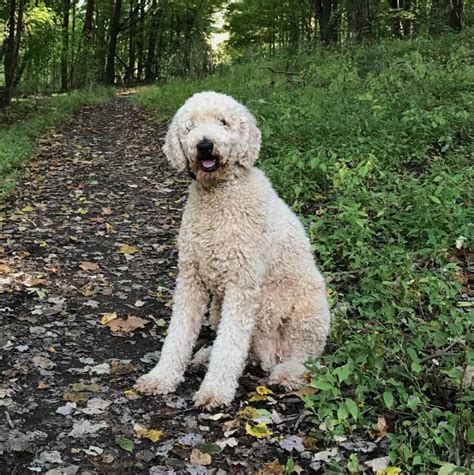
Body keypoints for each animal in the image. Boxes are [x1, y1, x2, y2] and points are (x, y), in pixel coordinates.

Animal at [135, 92, 332, 410]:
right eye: (190, 126)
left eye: (223, 122)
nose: (204, 144)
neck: (218, 197)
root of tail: (269, 355)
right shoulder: (191, 279)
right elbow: (178, 334)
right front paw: (161, 377)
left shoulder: (242, 285)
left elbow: (230, 347)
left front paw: (215, 391)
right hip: (218, 309)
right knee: (245, 352)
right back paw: (205, 356)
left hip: (307, 315)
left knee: (303, 357)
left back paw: (287, 373)